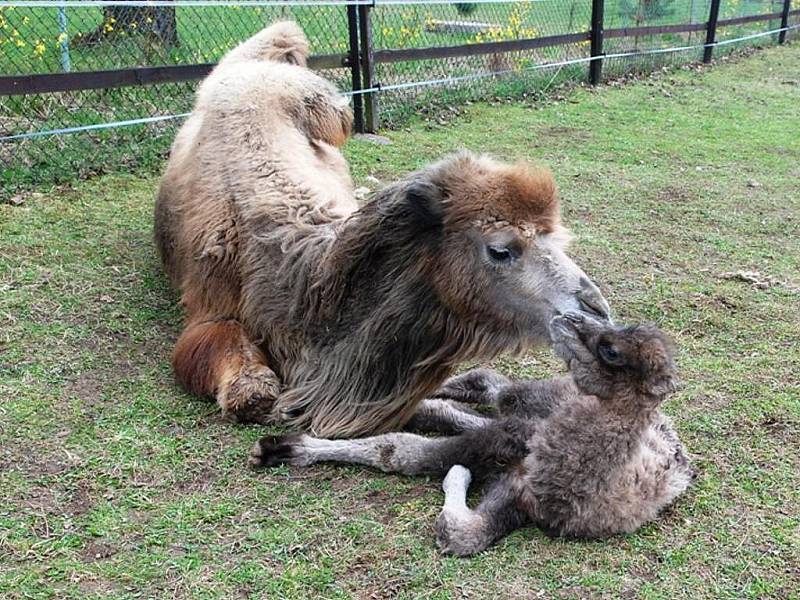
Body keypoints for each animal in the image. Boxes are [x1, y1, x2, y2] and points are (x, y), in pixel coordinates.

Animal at [252, 312, 692, 556]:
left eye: (612, 351)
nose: (571, 318)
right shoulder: (517, 449)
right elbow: (402, 451)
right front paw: (284, 446)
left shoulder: (520, 491)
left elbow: (462, 532)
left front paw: (284, 448)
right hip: (541, 401)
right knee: (498, 389)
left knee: (483, 407)